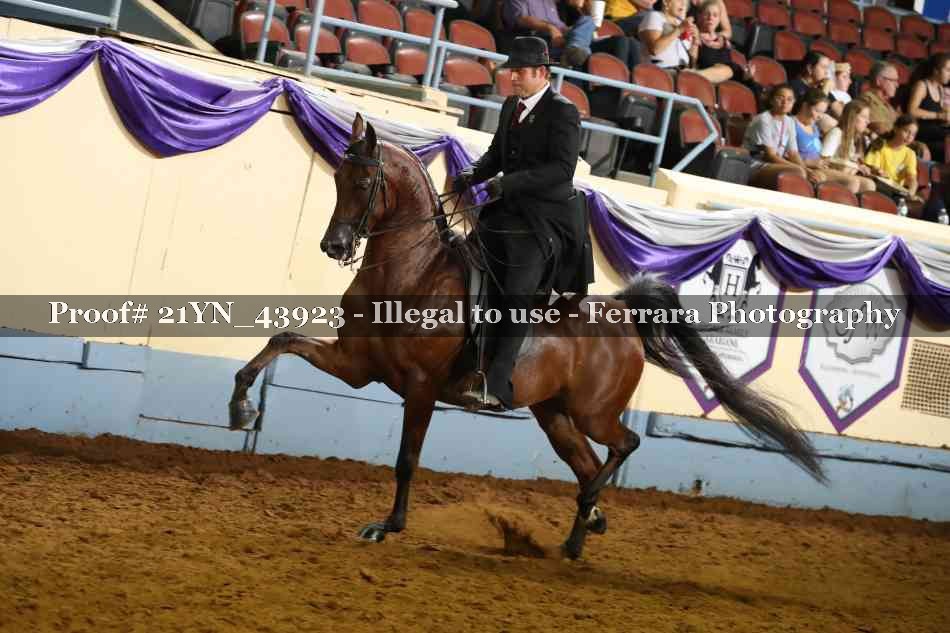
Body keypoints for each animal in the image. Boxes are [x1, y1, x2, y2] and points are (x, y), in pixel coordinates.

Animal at [228, 114, 827, 560]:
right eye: (335, 179)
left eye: (363, 182)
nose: (335, 245)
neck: (411, 272)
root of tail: (622, 314)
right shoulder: (356, 366)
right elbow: (282, 340)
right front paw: (240, 407)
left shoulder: (419, 388)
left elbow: (407, 459)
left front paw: (387, 526)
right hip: (555, 415)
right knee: (586, 461)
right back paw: (579, 534)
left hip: (592, 411)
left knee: (622, 446)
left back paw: (590, 508)